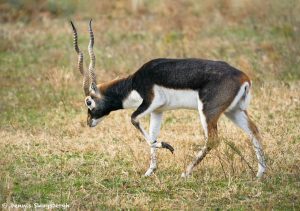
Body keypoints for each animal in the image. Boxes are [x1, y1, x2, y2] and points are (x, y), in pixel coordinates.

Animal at [71, 20, 268, 178]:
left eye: (88, 102)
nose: (89, 122)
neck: (135, 83)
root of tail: (243, 77)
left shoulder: (150, 102)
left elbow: (133, 119)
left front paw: (167, 146)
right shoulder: (158, 111)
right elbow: (152, 134)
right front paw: (150, 171)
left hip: (208, 112)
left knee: (212, 140)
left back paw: (186, 172)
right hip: (233, 111)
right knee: (254, 131)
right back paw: (260, 173)